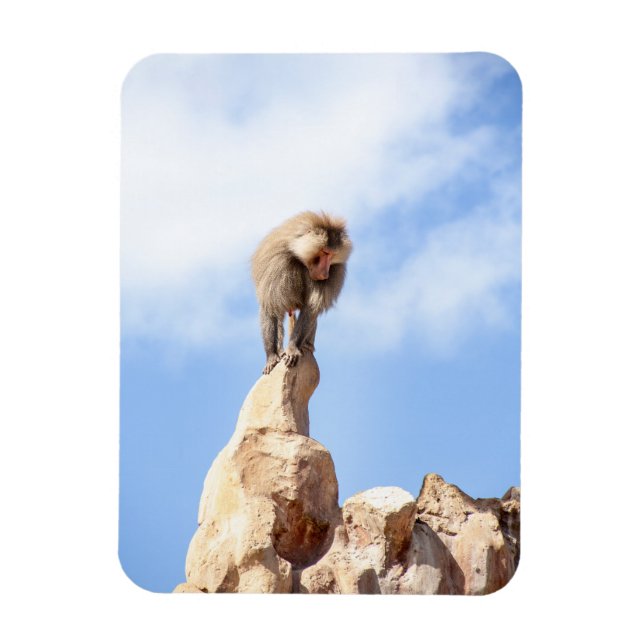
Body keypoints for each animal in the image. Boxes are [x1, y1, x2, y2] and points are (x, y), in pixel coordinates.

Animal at [251, 211, 353, 374]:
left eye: (332, 255)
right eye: (325, 252)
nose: (325, 274)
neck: (299, 256)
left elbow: (311, 309)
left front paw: (293, 349)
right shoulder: (276, 264)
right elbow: (270, 307)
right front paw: (271, 357)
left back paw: (306, 346)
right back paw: (280, 351)